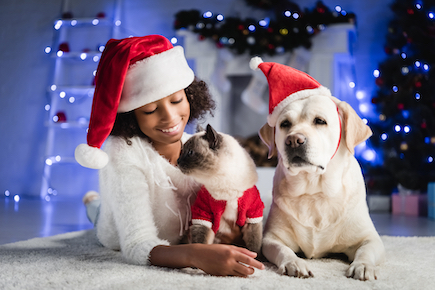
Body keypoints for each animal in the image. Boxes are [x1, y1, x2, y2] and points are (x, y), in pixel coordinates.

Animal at [178, 124, 266, 254]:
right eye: (182, 152)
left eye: (190, 152)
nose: (178, 161)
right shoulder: (203, 215)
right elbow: (201, 243)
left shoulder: (253, 215)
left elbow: (254, 246)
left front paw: (256, 258)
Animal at [258, 95, 384, 280]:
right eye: (285, 124)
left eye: (319, 121)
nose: (293, 140)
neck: (315, 192)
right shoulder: (272, 238)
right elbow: (282, 249)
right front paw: (294, 262)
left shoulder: (369, 237)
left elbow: (366, 251)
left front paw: (363, 266)